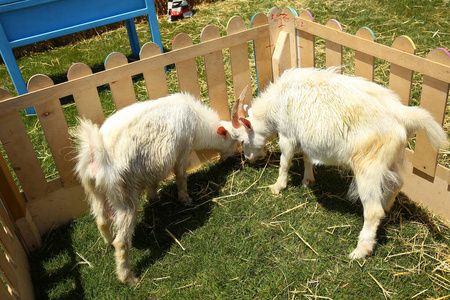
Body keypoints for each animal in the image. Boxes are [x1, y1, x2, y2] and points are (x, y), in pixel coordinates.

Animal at [72, 93, 237, 284]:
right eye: (235, 140)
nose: (236, 157)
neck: (198, 121)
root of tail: (96, 156)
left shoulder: (153, 165)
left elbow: (154, 182)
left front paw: (153, 198)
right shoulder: (182, 153)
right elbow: (181, 177)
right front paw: (186, 199)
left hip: (94, 192)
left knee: (101, 220)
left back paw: (108, 241)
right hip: (124, 195)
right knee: (122, 242)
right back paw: (128, 277)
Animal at [220, 67, 448, 258]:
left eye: (242, 140)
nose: (249, 159)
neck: (277, 102)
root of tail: (403, 115)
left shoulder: (287, 134)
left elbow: (285, 161)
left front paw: (278, 186)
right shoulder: (305, 136)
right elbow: (307, 157)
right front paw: (308, 181)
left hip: (368, 163)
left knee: (372, 210)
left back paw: (361, 250)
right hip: (389, 158)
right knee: (397, 182)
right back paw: (387, 207)